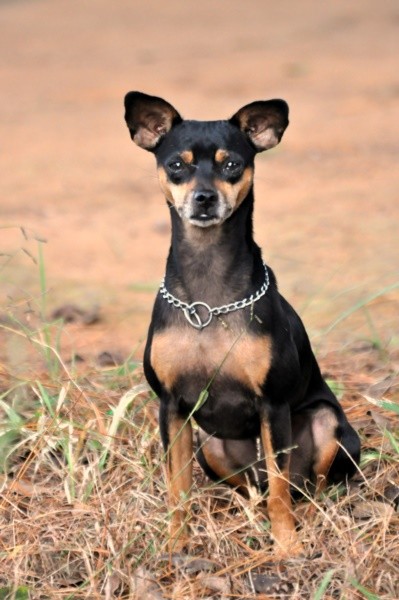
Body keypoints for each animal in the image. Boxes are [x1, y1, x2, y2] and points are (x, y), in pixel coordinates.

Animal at [123, 90, 360, 556]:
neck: (208, 298)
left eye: (231, 163)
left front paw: (286, 545)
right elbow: (177, 488)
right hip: (211, 447)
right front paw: (176, 541)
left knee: (301, 486)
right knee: (254, 487)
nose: (204, 198)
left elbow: (280, 492)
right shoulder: (172, 409)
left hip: (326, 424)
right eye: (176, 164)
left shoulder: (273, 405)